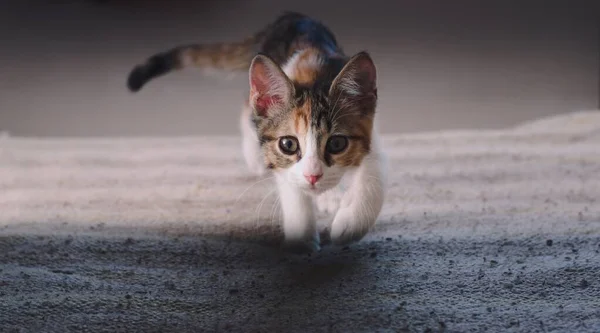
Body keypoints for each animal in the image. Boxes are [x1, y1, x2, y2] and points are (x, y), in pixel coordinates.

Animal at [128, 11, 386, 252]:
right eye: (288, 144)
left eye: (336, 144)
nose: (313, 176)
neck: (314, 73)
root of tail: (291, 16)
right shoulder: (279, 157)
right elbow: (290, 186)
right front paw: (302, 239)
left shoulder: (371, 133)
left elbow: (373, 177)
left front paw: (351, 223)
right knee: (248, 107)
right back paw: (256, 157)